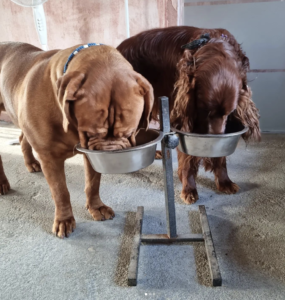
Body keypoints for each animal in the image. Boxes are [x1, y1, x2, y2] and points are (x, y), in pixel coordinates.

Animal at [0, 42, 153, 239]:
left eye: (129, 133)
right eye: (89, 132)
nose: (110, 152)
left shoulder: (91, 154)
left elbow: (93, 183)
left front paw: (97, 207)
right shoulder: (50, 157)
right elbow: (60, 191)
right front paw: (64, 220)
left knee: (22, 137)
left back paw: (31, 163)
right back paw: (2, 183)